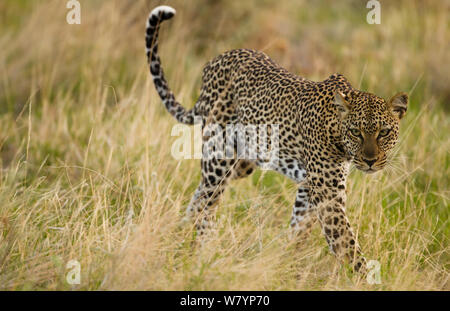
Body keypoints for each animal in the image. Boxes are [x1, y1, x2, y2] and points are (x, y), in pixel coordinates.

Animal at [144, 4, 408, 272]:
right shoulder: (327, 193)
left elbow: (300, 229)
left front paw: (288, 264)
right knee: (206, 204)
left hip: (242, 163)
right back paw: (200, 252)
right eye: (356, 131)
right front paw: (366, 276)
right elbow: (346, 242)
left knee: (200, 196)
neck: (336, 128)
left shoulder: (309, 186)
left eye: (384, 132)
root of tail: (215, 61)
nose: (370, 161)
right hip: (220, 157)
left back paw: (181, 236)